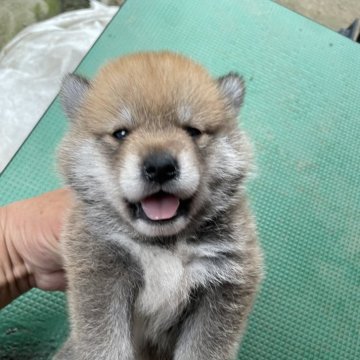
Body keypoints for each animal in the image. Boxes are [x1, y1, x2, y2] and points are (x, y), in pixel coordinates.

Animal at [53, 51, 262, 360]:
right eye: (121, 134)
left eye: (192, 131)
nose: (160, 166)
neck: (165, 246)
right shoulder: (102, 275)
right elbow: (105, 344)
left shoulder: (223, 283)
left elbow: (202, 349)